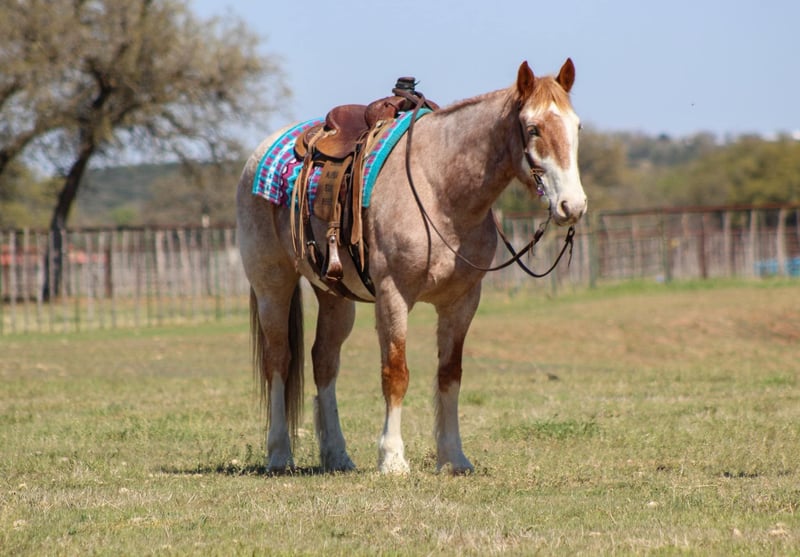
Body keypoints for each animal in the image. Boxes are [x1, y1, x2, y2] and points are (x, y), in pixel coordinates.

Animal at [236, 58, 587, 474]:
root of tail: (261, 151)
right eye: (532, 128)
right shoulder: (393, 295)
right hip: (272, 284)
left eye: (576, 127)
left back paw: (337, 454)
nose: (572, 206)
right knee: (278, 360)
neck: (439, 189)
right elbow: (396, 373)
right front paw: (392, 458)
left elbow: (450, 374)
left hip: (335, 296)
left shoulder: (462, 301)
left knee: (324, 361)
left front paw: (453, 457)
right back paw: (279, 454)